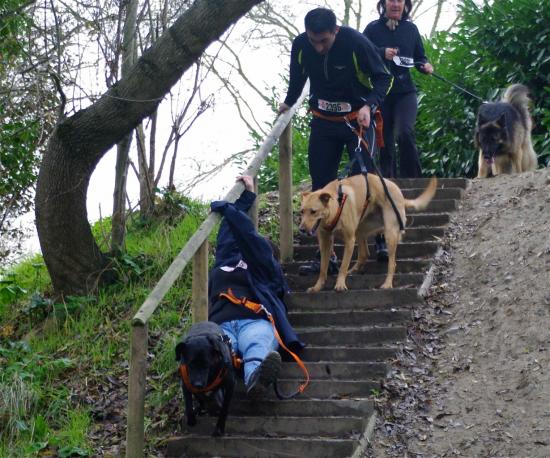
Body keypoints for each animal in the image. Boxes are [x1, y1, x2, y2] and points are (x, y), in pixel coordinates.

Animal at [300, 174, 438, 292]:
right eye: (301, 211)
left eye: (313, 211)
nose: (301, 229)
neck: (336, 204)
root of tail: (398, 191)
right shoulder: (325, 242)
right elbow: (323, 269)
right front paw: (317, 287)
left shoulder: (349, 240)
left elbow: (343, 266)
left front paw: (340, 284)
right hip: (360, 229)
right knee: (364, 254)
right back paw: (353, 270)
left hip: (390, 232)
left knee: (392, 263)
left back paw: (387, 283)